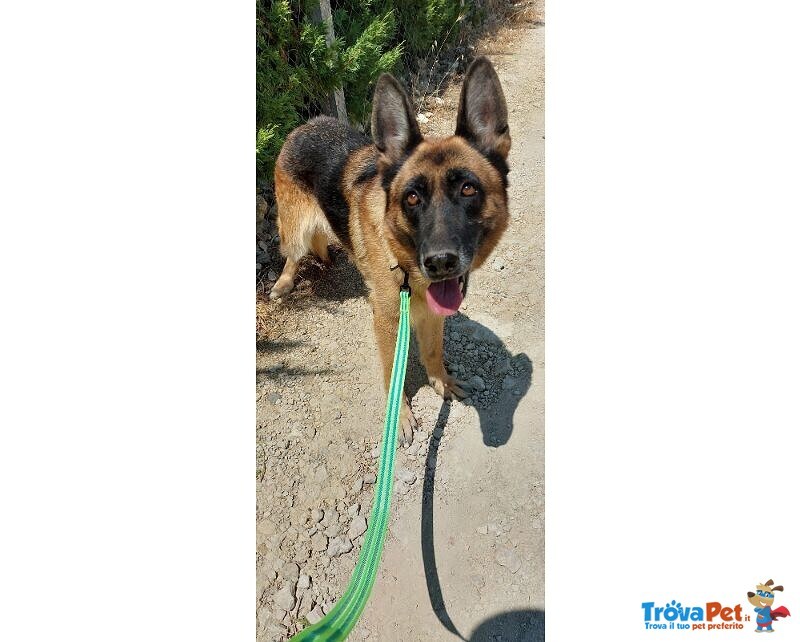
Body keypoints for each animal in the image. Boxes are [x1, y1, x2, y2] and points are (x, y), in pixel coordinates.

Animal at [268, 57, 506, 442]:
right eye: (412, 198)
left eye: (469, 189)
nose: (441, 262)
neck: (402, 260)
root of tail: (307, 124)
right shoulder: (387, 321)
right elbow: (393, 374)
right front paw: (401, 414)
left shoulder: (431, 313)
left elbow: (433, 351)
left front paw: (441, 382)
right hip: (295, 225)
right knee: (293, 251)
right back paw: (284, 283)